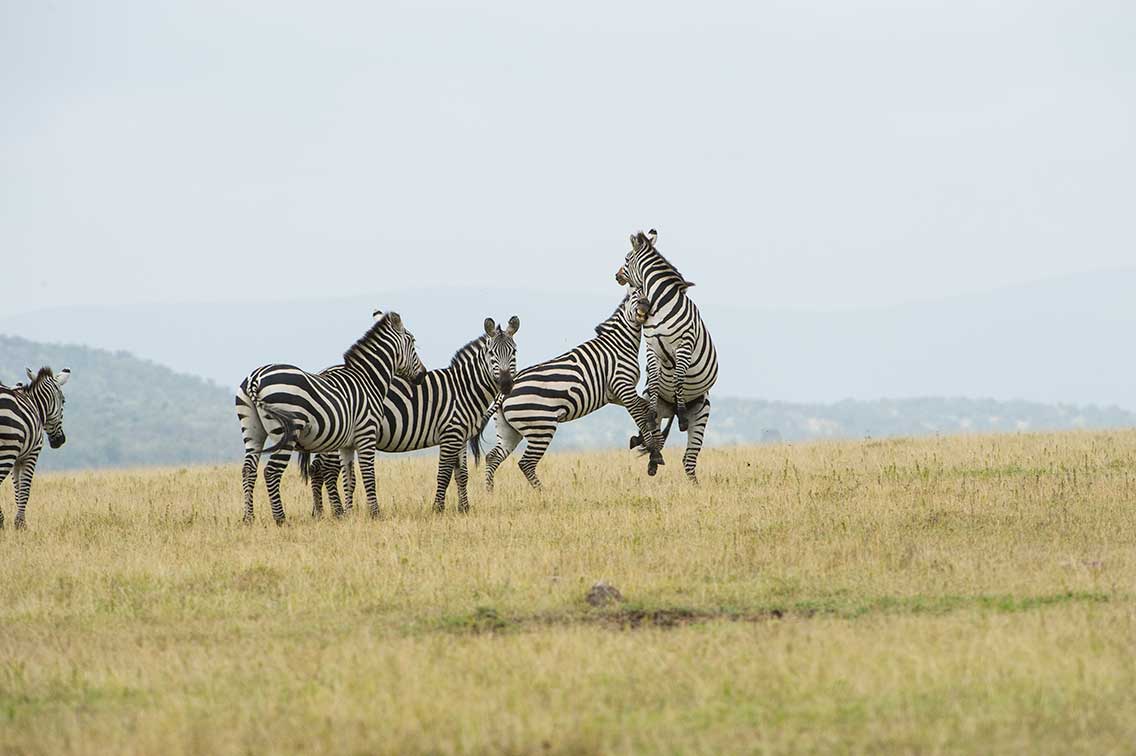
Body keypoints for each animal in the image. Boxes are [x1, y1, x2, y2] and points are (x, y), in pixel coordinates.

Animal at [0, 367, 71, 529]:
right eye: (63, 401)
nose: (61, 441)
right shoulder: (31, 453)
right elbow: (25, 489)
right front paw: (21, 524)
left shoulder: (17, 458)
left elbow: (18, 489)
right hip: (7, 450)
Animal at [235, 312, 426, 523]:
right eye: (413, 341)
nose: (423, 375)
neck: (368, 379)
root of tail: (256, 378)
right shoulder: (367, 434)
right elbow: (368, 474)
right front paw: (375, 514)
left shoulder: (347, 444)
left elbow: (349, 478)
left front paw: (348, 514)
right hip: (286, 432)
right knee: (271, 472)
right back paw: (281, 520)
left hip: (252, 430)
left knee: (249, 470)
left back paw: (248, 518)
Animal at [299, 315, 521, 514]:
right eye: (491, 353)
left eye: (514, 352)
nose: (506, 385)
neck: (463, 388)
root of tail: (323, 372)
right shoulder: (450, 433)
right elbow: (443, 474)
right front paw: (438, 509)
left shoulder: (461, 437)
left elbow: (462, 474)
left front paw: (464, 509)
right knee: (326, 471)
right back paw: (335, 512)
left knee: (317, 469)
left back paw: (319, 512)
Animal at [483, 288, 663, 491]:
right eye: (634, 296)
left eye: (645, 293)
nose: (644, 304)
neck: (620, 344)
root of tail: (504, 392)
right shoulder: (623, 386)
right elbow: (640, 417)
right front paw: (653, 450)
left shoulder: (616, 395)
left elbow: (647, 409)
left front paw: (653, 444)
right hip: (541, 427)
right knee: (526, 463)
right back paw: (544, 493)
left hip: (509, 431)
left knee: (493, 457)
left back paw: (490, 492)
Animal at [617, 229, 718, 482]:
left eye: (626, 258)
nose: (616, 275)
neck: (660, 303)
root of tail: (669, 409)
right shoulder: (652, 347)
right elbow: (653, 381)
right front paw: (651, 413)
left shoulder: (684, 344)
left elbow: (680, 377)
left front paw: (681, 414)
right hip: (660, 407)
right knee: (657, 439)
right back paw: (650, 455)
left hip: (701, 412)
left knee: (688, 460)